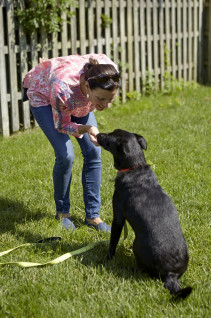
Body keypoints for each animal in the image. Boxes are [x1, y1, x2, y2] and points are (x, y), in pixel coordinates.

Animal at [96, 129, 192, 298]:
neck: (134, 167)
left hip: (136, 244)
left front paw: (106, 260)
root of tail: (171, 274)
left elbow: (113, 243)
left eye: (108, 138)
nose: (98, 134)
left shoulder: (118, 217)